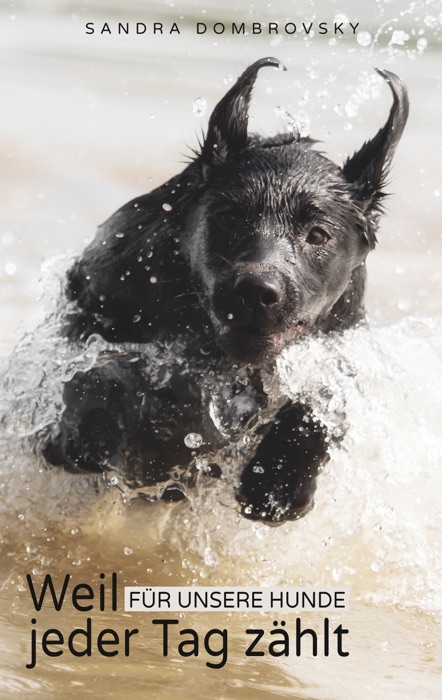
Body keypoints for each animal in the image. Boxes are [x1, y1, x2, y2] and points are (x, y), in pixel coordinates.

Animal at [41, 57, 408, 524]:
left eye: (318, 234)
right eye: (230, 216)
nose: (257, 292)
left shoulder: (341, 339)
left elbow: (323, 397)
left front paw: (279, 481)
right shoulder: (98, 301)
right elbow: (96, 370)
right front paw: (94, 431)